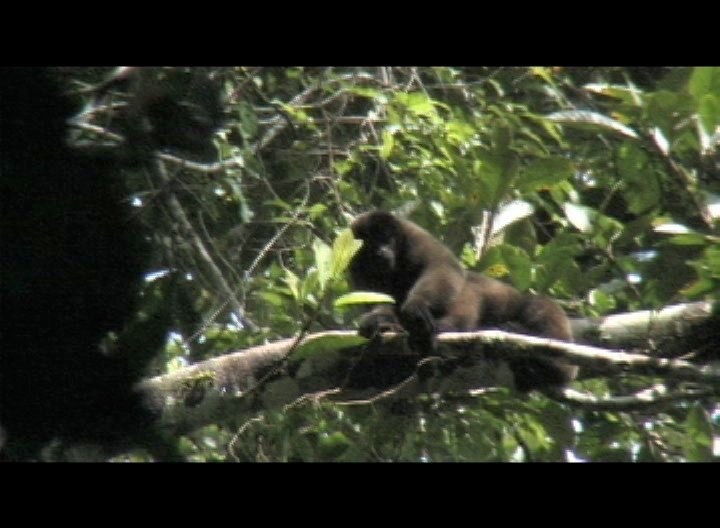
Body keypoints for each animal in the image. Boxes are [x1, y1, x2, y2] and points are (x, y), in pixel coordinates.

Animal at [346, 211, 576, 392]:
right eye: (371, 243)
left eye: (387, 239)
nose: (382, 250)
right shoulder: (354, 261)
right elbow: (374, 297)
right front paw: (380, 322)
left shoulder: (413, 235)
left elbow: (443, 265)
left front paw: (416, 308)